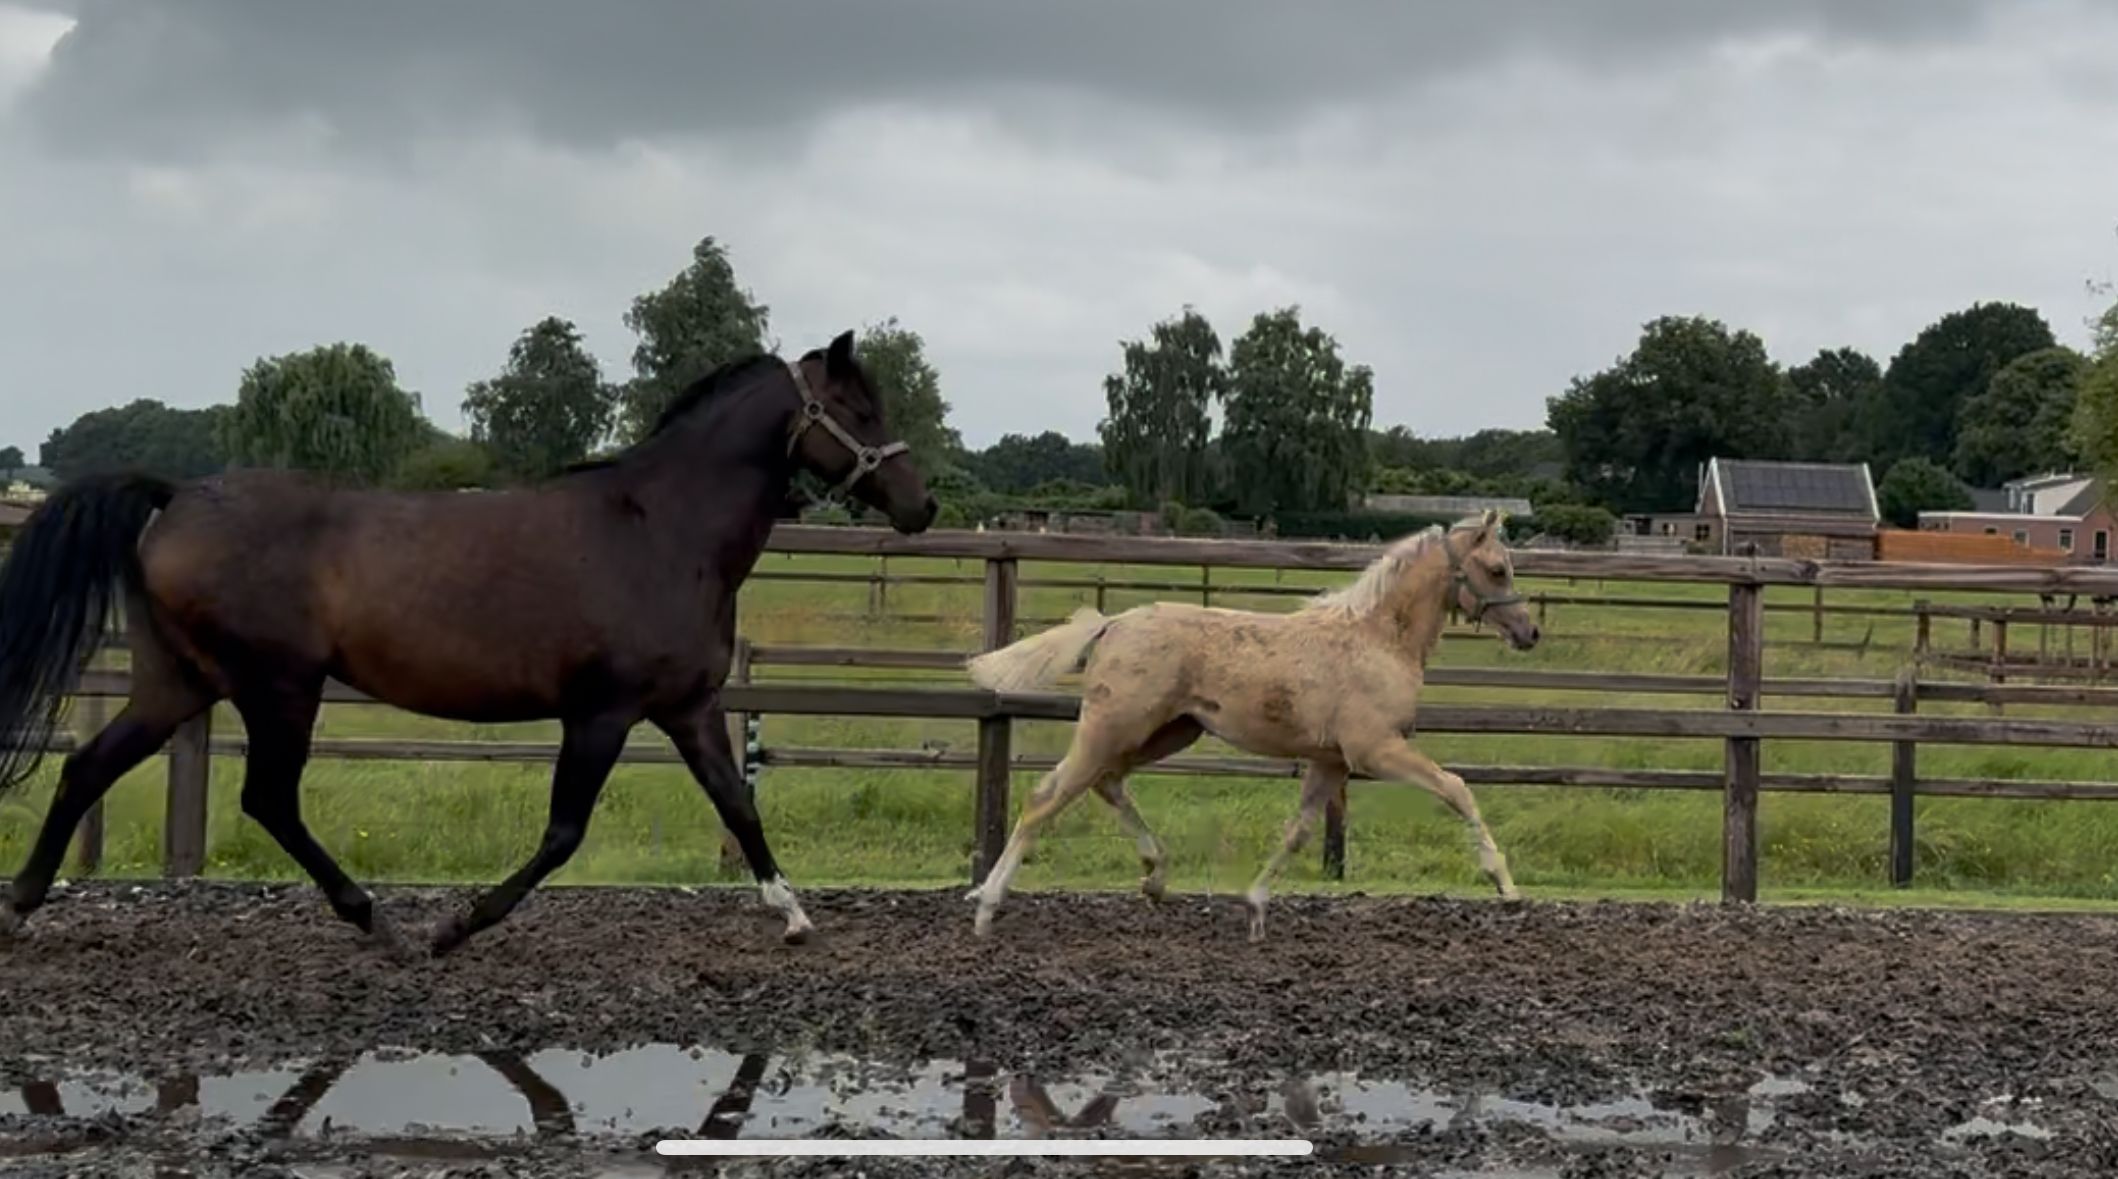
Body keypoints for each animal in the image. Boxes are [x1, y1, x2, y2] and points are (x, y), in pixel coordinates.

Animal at [0, 330, 936, 957]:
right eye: (856, 408)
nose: (920, 505)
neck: (662, 530)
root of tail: (177, 496)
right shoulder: (601, 713)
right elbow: (563, 833)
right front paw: (459, 925)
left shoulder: (689, 707)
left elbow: (737, 803)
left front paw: (794, 912)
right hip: (279, 686)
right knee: (268, 799)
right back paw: (377, 920)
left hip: (180, 681)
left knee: (87, 767)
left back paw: (21, 904)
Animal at [962, 510, 1539, 941]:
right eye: (1496, 569)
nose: (1529, 632)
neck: (1378, 638)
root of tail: (1112, 623)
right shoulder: (1374, 750)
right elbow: (1457, 788)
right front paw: (1505, 885)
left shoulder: (1331, 761)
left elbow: (1299, 831)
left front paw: (1256, 905)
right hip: (1112, 728)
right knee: (1047, 797)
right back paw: (986, 904)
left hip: (1170, 732)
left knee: (1106, 783)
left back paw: (1155, 877)